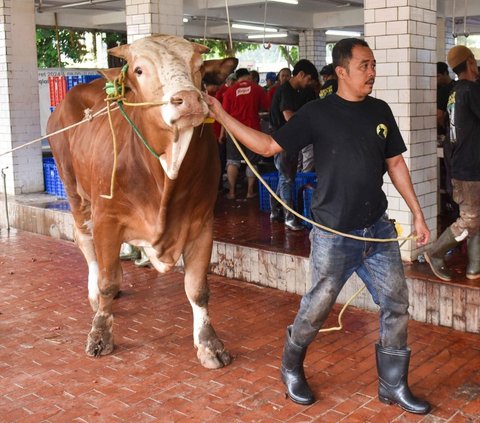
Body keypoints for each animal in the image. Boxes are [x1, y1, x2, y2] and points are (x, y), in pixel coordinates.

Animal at [47, 34, 238, 370]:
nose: (188, 100)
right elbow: (107, 281)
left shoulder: (202, 222)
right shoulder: (107, 219)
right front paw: (100, 334)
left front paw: (209, 344)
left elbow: (197, 289)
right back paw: (94, 296)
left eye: (199, 67)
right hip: (74, 190)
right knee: (85, 243)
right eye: (139, 69)